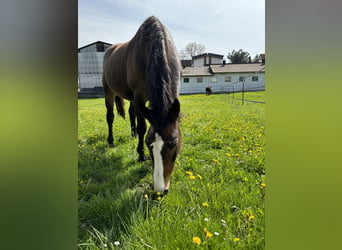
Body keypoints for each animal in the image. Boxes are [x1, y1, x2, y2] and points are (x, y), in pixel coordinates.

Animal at [101, 16, 182, 194]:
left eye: (173, 143)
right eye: (148, 144)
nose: (160, 189)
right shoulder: (139, 96)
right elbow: (142, 127)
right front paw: (141, 155)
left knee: (132, 113)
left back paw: (131, 134)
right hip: (109, 90)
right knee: (110, 116)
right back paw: (110, 141)